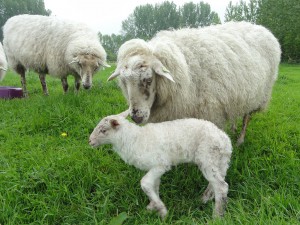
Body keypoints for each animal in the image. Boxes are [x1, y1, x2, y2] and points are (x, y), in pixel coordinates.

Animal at [88, 110, 232, 218]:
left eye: (103, 130)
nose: (89, 141)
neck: (134, 139)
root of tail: (225, 141)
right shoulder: (155, 167)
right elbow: (154, 186)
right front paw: (153, 206)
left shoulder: (161, 164)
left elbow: (145, 183)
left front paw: (162, 210)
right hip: (219, 162)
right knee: (216, 183)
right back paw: (204, 199)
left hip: (208, 157)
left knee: (221, 186)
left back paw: (217, 216)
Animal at [108, 22, 282, 145]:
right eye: (124, 83)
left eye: (149, 80)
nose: (136, 118)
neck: (184, 70)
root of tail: (261, 28)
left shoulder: (210, 112)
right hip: (239, 94)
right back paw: (233, 128)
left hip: (260, 94)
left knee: (247, 117)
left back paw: (240, 139)